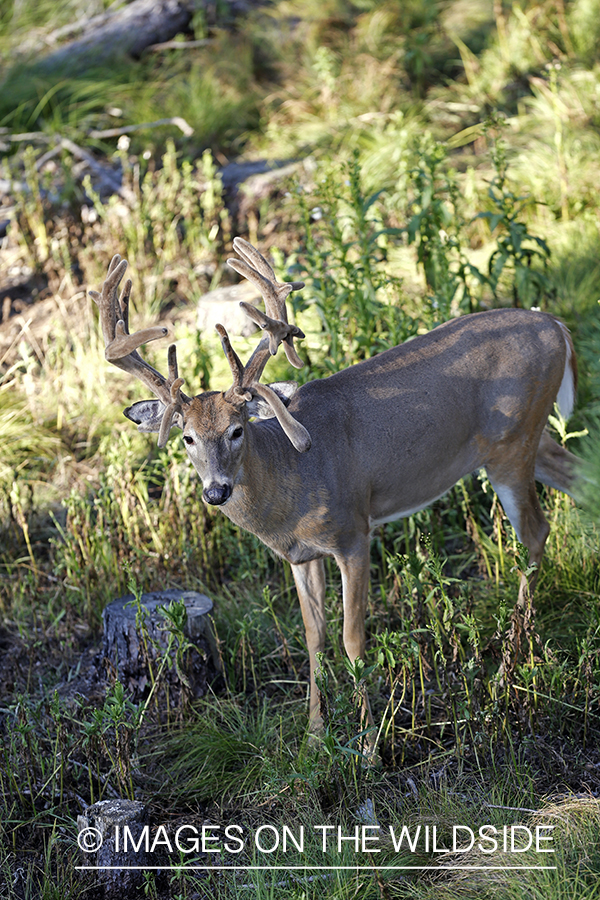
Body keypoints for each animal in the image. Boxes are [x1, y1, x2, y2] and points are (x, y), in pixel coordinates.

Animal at [91, 237, 580, 732]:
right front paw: (315, 732)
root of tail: (556, 325)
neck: (292, 482)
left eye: (237, 429)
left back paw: (505, 675)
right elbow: (314, 636)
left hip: (511, 443)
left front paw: (368, 738)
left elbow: (352, 638)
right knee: (579, 478)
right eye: (187, 437)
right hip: (529, 440)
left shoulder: (353, 533)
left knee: (536, 533)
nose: (216, 491)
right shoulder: (301, 556)